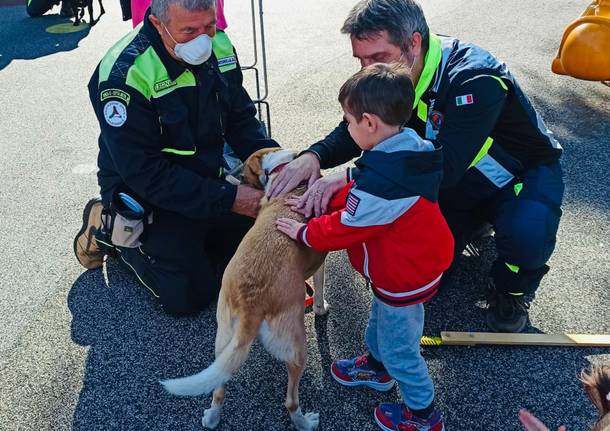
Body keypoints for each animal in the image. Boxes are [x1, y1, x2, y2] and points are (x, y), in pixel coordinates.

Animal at [159, 149, 326, 431]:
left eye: (245, 171)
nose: (232, 174)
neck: (284, 168)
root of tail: (252, 303)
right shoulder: (321, 263)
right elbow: (322, 290)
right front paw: (322, 308)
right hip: (298, 349)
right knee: (291, 401)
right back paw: (305, 422)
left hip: (224, 338)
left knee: (219, 388)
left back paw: (212, 417)